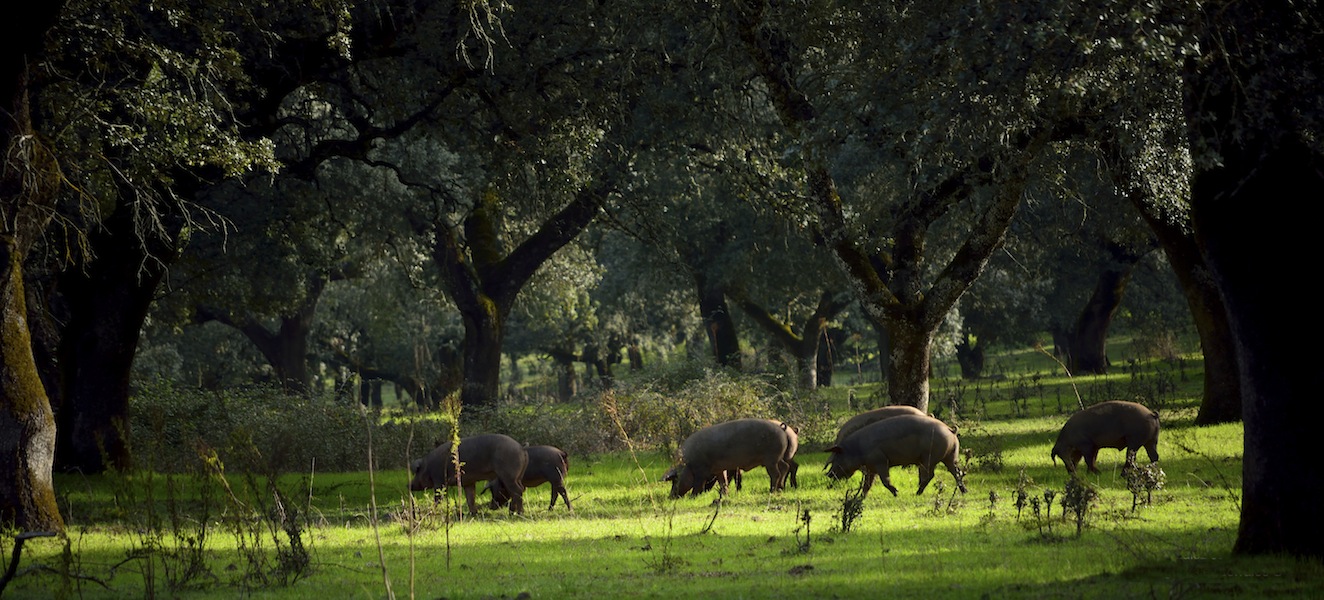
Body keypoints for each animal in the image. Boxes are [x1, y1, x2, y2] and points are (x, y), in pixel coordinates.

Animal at [820, 415, 969, 495]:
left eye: (837, 457)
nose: (828, 474)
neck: (857, 449)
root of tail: (950, 430)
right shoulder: (870, 466)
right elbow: (867, 484)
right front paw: (861, 497)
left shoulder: (880, 460)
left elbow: (885, 480)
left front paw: (896, 493)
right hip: (951, 456)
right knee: (957, 472)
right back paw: (964, 491)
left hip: (929, 457)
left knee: (930, 475)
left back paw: (917, 493)